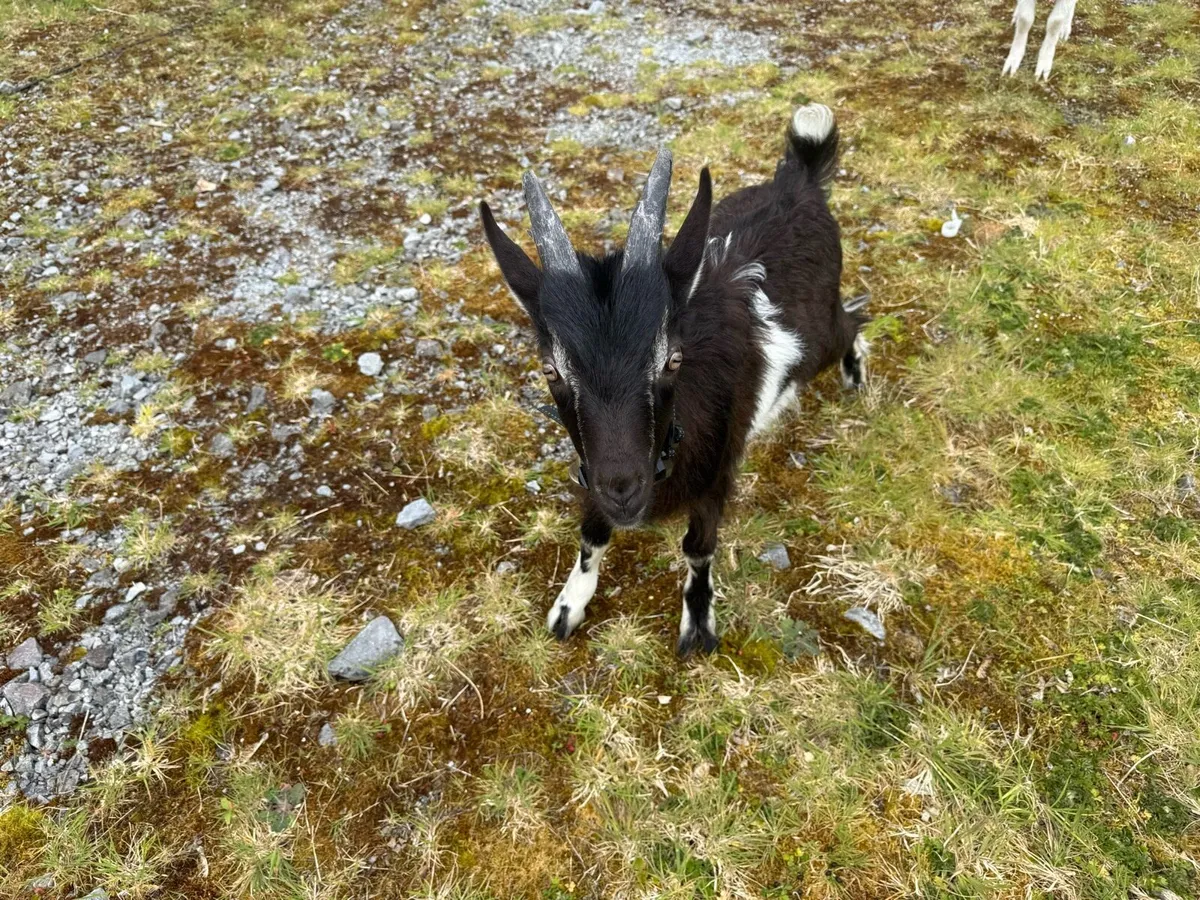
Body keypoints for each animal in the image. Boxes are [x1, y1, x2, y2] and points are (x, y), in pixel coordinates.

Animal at [479, 104, 867, 654]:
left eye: (672, 361)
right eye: (551, 369)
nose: (624, 489)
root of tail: (801, 181)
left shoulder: (716, 473)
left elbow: (698, 547)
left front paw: (698, 623)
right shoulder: (593, 472)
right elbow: (591, 535)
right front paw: (568, 607)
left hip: (821, 337)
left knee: (852, 320)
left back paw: (856, 375)